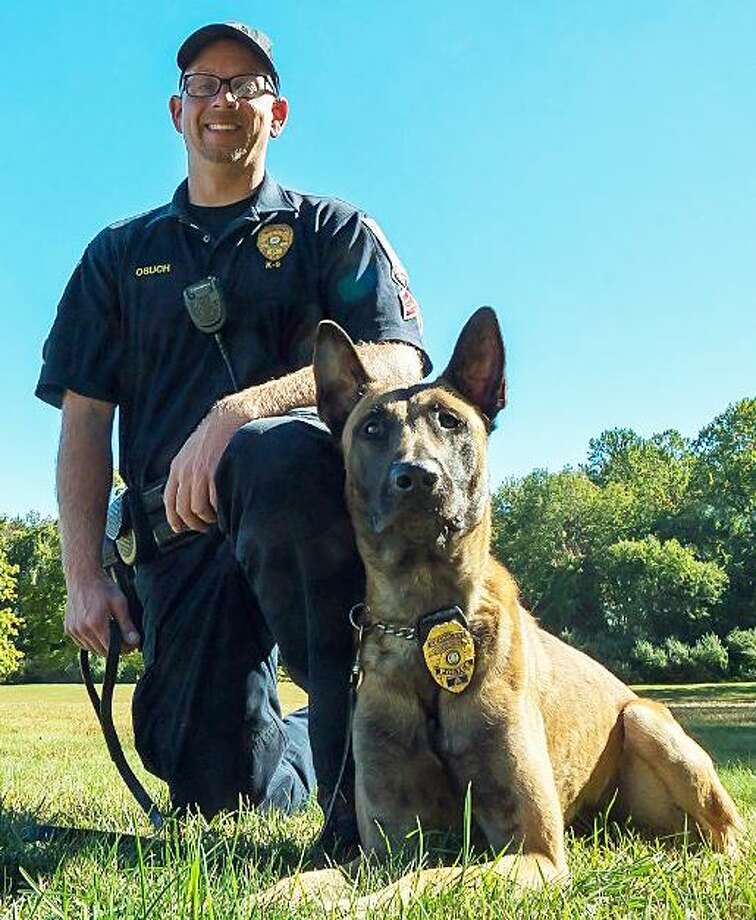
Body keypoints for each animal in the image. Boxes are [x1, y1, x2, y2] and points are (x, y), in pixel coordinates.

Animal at [256, 306, 740, 908]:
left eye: (449, 421)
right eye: (372, 428)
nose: (417, 477)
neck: (427, 621)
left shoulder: (532, 852)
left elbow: (424, 881)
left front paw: (362, 905)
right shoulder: (385, 846)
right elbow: (311, 878)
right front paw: (277, 893)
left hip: (647, 721)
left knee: (723, 839)